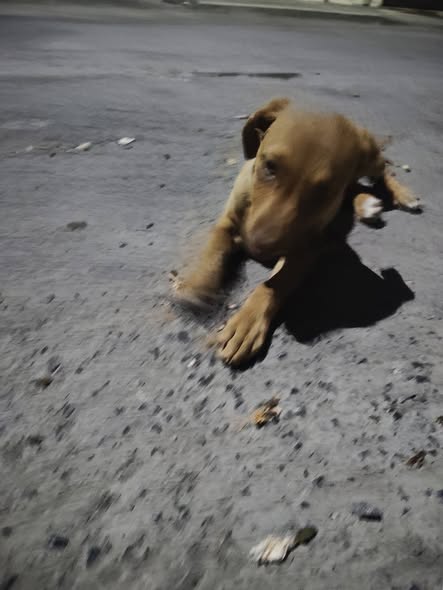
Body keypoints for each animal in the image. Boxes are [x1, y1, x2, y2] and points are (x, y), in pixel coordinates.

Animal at [173, 97, 420, 366]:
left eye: (323, 191)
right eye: (269, 166)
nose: (256, 248)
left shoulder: (308, 248)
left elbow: (275, 283)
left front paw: (246, 322)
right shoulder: (228, 222)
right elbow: (213, 248)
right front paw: (196, 284)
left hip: (370, 159)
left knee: (382, 169)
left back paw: (402, 195)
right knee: (354, 185)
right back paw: (365, 203)